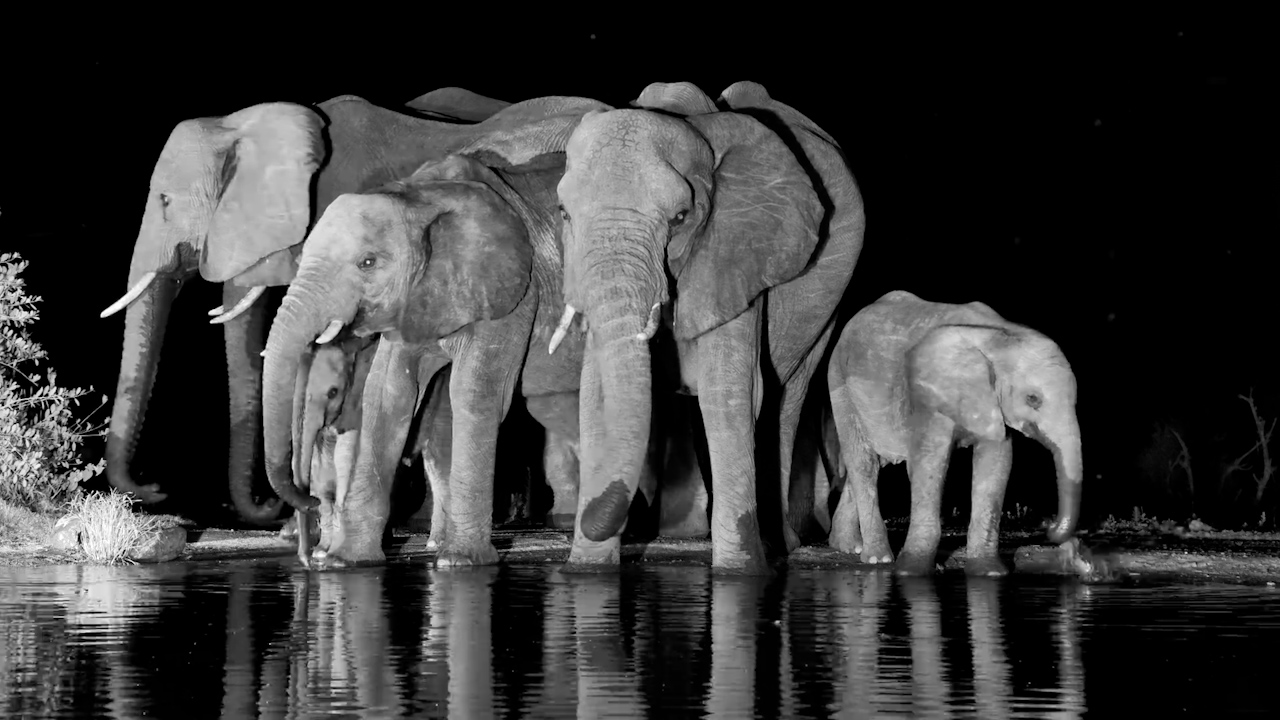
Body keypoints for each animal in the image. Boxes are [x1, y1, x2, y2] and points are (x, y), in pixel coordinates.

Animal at [259, 95, 615, 568]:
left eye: (367, 263)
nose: (312, 503)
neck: (420, 200)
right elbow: (388, 391)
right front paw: (345, 562)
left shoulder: (512, 293)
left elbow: (475, 390)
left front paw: (458, 562)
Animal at [535, 81, 866, 574]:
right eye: (563, 212)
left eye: (680, 218)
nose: (595, 516)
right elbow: (596, 397)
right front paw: (587, 570)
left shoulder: (737, 249)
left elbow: (730, 392)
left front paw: (740, 572)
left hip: (826, 305)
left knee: (786, 400)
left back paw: (779, 544)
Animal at [826, 290, 1082, 576]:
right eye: (1033, 399)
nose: (1050, 528)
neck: (999, 335)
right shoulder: (928, 394)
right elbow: (929, 463)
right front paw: (911, 572)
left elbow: (996, 462)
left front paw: (989, 572)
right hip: (839, 383)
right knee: (864, 463)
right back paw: (876, 559)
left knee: (874, 460)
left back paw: (848, 546)